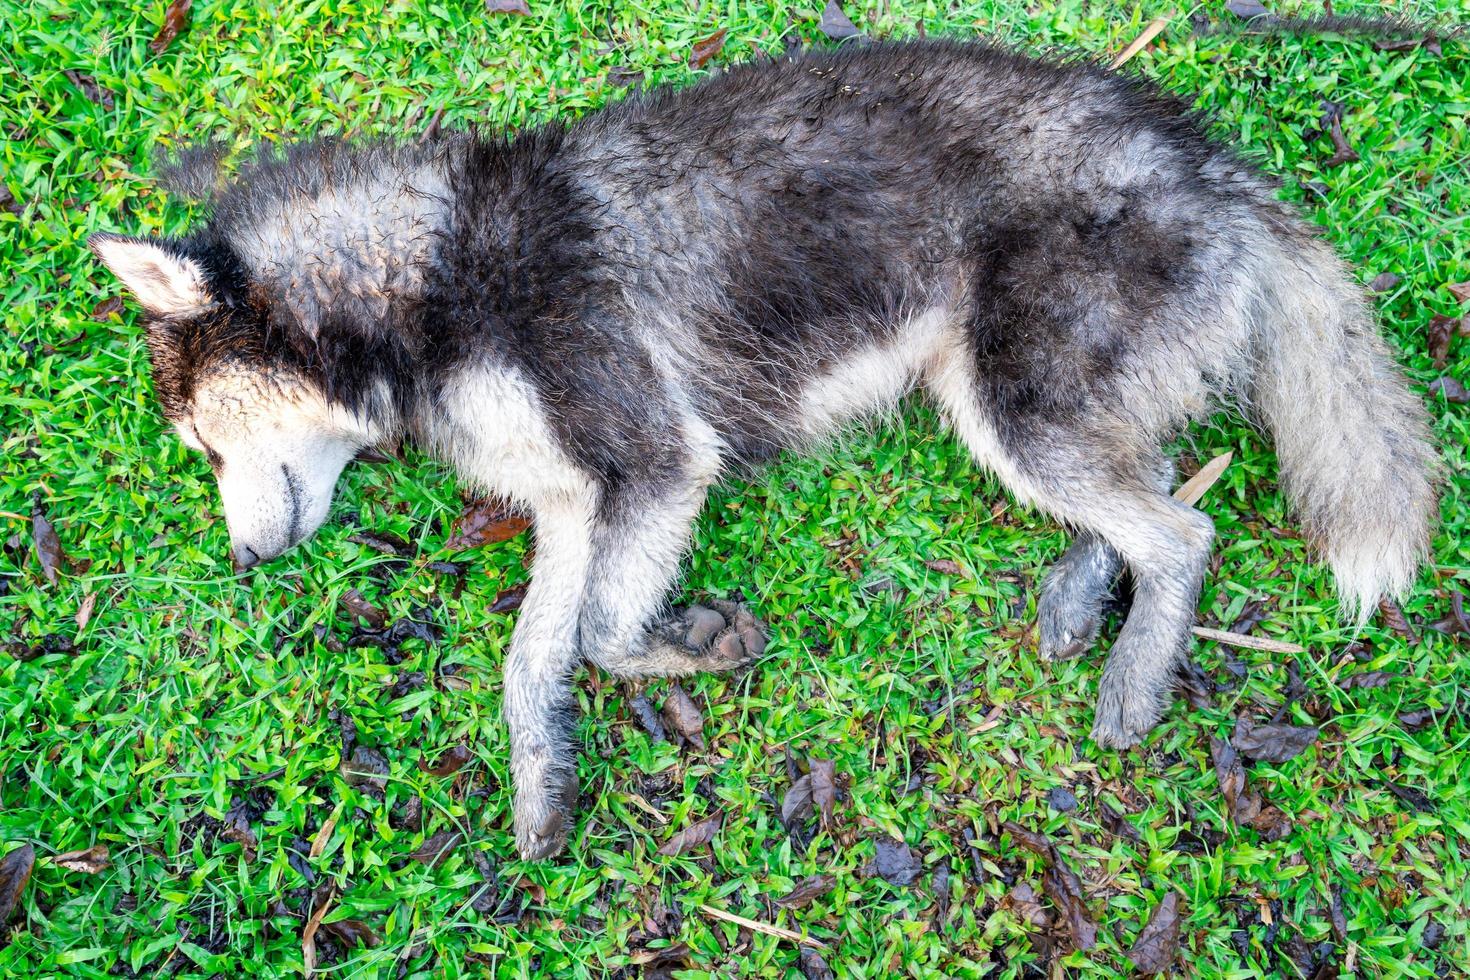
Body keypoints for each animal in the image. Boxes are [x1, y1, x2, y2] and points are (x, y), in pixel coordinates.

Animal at [88, 38, 1434, 858]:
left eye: (203, 435)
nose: (245, 560)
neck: (432, 271)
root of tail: (1203, 154)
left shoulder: (654, 460)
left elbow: (604, 631)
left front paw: (695, 645)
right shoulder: (577, 497)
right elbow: (534, 658)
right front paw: (540, 782)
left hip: (1012, 403)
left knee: (1186, 525)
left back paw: (1137, 668)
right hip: (1018, 402)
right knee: (1150, 482)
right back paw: (1079, 594)